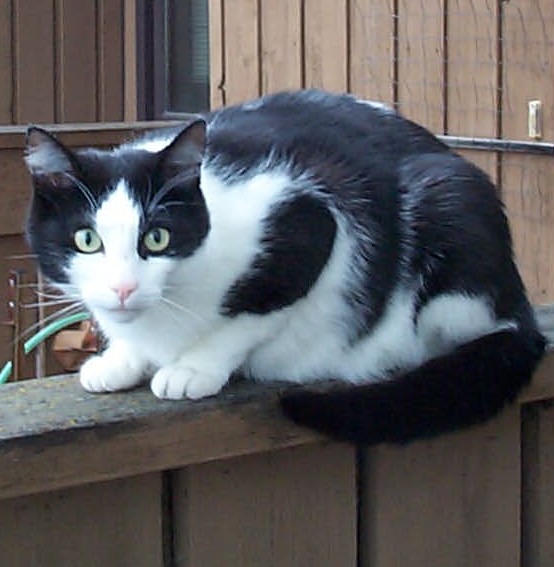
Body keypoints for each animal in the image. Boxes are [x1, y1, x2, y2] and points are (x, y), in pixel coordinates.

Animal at [23, 90, 540, 444]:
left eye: (157, 237)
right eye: (87, 240)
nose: (124, 289)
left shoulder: (308, 219)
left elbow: (254, 311)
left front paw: (193, 367)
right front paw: (121, 359)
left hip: (449, 201)